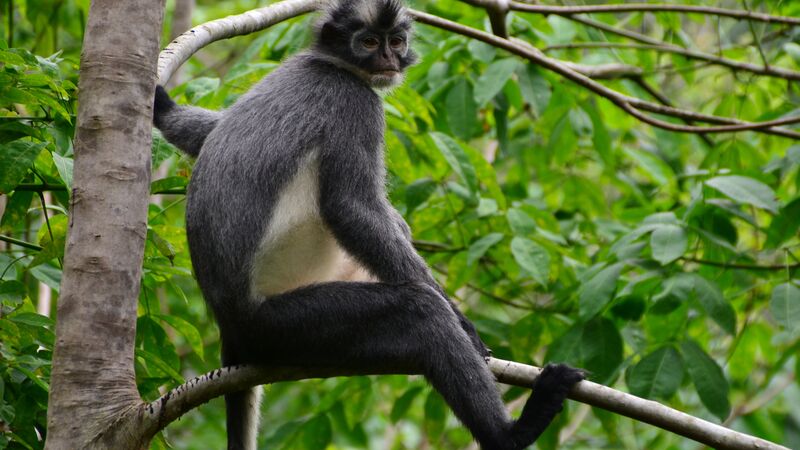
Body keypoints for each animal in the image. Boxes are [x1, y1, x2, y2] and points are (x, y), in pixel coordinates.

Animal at [153, 0, 584, 446]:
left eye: (396, 41)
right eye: (370, 43)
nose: (389, 61)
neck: (329, 65)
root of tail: (229, 324)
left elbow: (211, 132)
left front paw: (163, 108)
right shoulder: (354, 103)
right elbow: (350, 209)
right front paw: (462, 322)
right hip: (283, 325)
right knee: (420, 313)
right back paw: (512, 432)